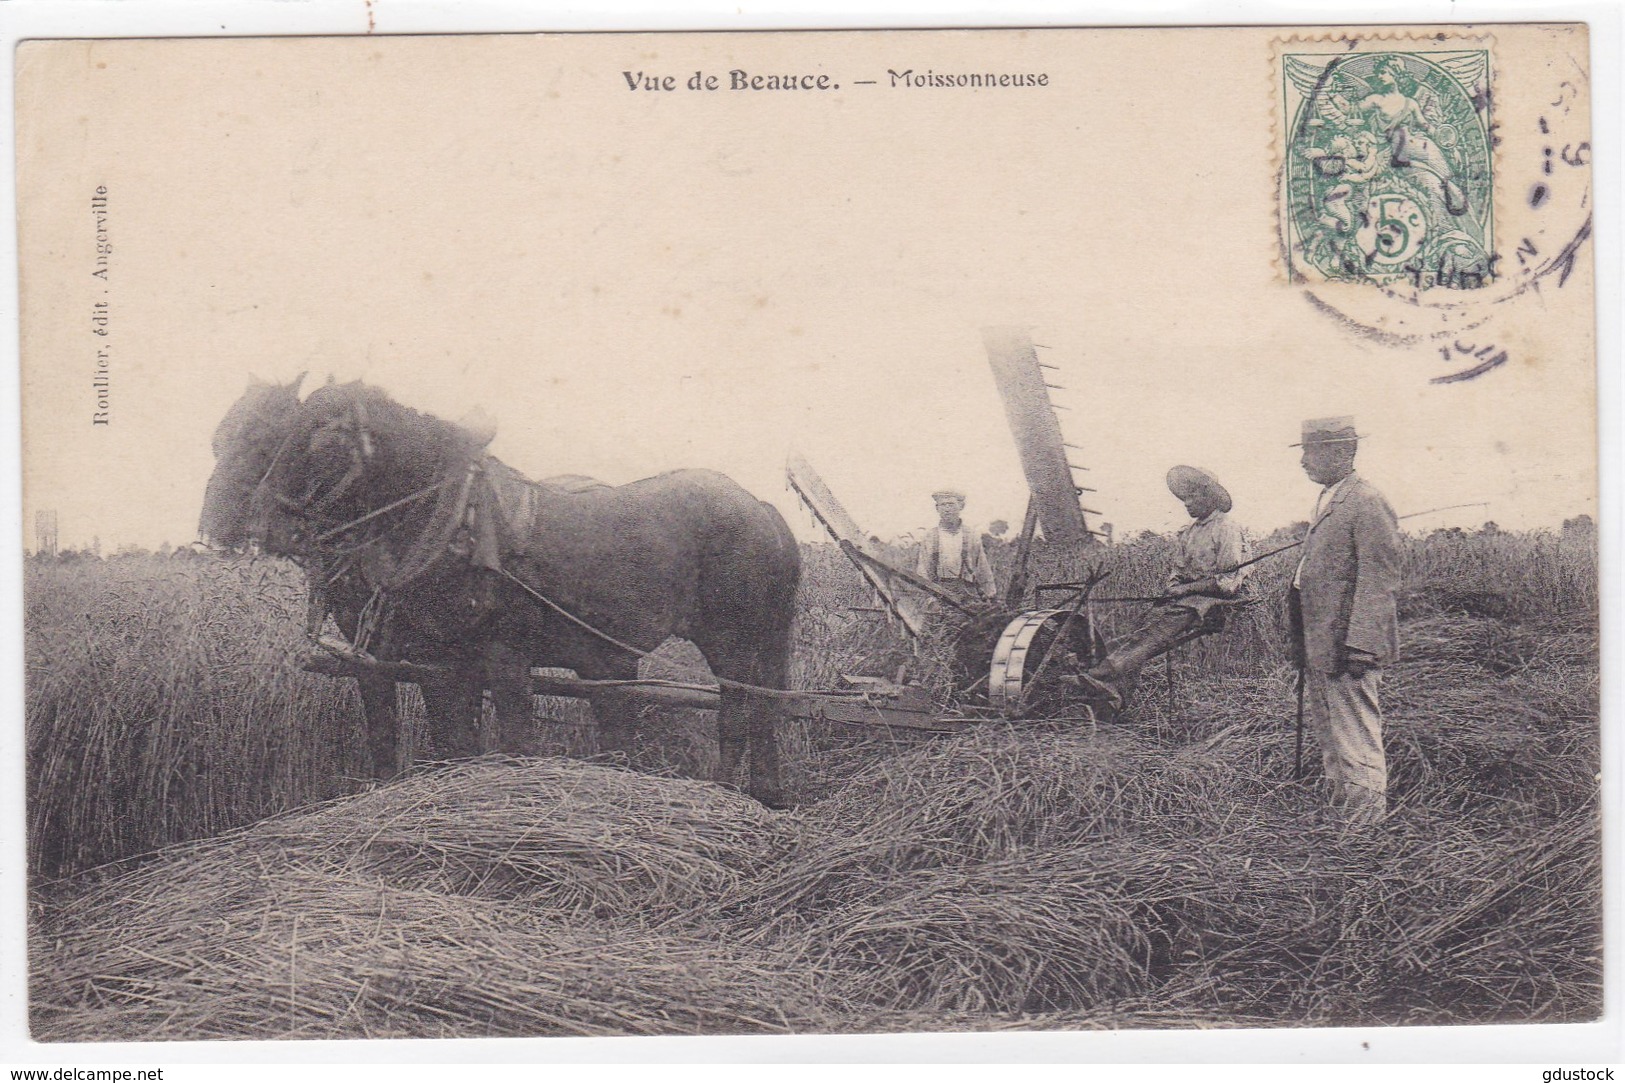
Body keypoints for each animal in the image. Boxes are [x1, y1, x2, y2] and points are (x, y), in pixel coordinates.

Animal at [199, 375, 802, 806]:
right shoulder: (434, 660)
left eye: (320, 440)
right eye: (222, 438)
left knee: (739, 709)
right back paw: (767, 793)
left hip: (732, 640)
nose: (228, 527)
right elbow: (445, 740)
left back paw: (726, 792)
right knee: (765, 707)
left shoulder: (501, 656)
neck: (451, 523)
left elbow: (510, 741)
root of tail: (760, 507)